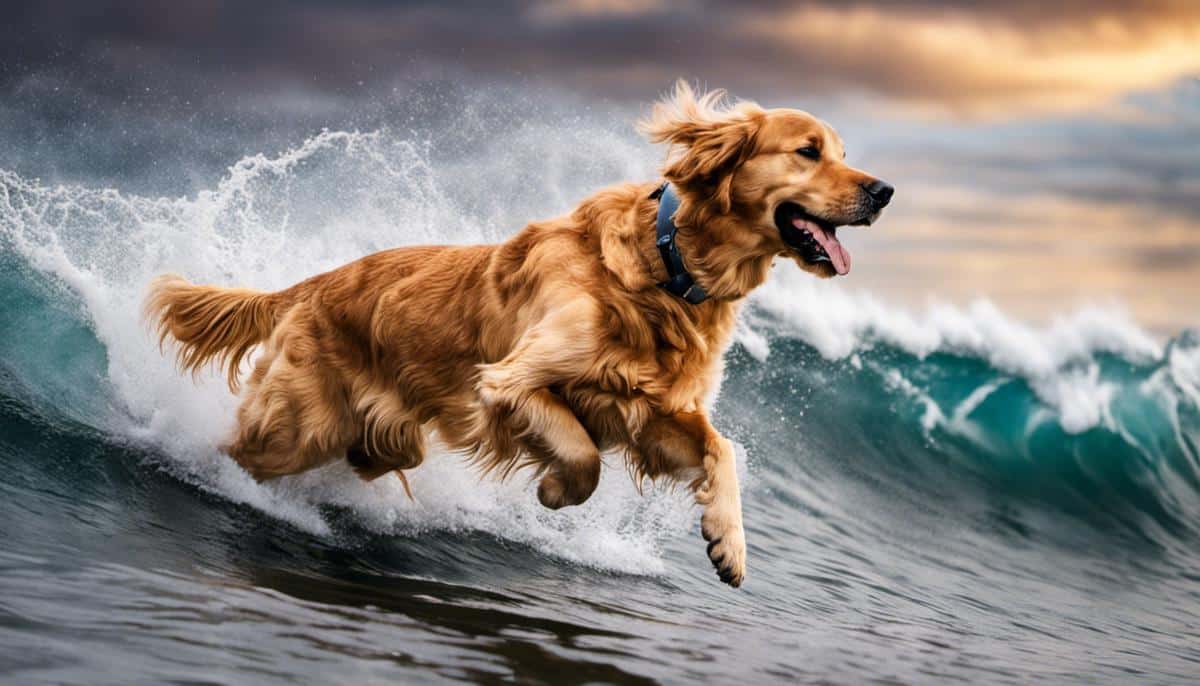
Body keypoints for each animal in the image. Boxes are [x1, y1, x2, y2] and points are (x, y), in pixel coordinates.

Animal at [145, 83, 892, 587]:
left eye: (844, 153)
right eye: (807, 152)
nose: (883, 191)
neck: (664, 267)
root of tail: (314, 282)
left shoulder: (653, 411)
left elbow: (722, 448)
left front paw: (727, 543)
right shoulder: (510, 382)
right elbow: (583, 455)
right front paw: (555, 494)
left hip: (381, 438)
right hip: (300, 427)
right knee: (234, 451)